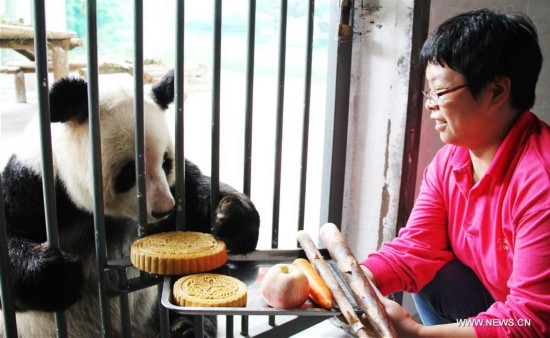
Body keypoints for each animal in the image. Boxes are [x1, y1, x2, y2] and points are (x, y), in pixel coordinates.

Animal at [0, 70, 260, 336]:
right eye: (129, 173)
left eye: (166, 162)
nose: (164, 209)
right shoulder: (36, 184)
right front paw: (58, 275)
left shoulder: (176, 186)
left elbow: (196, 195)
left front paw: (231, 218)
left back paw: (183, 328)